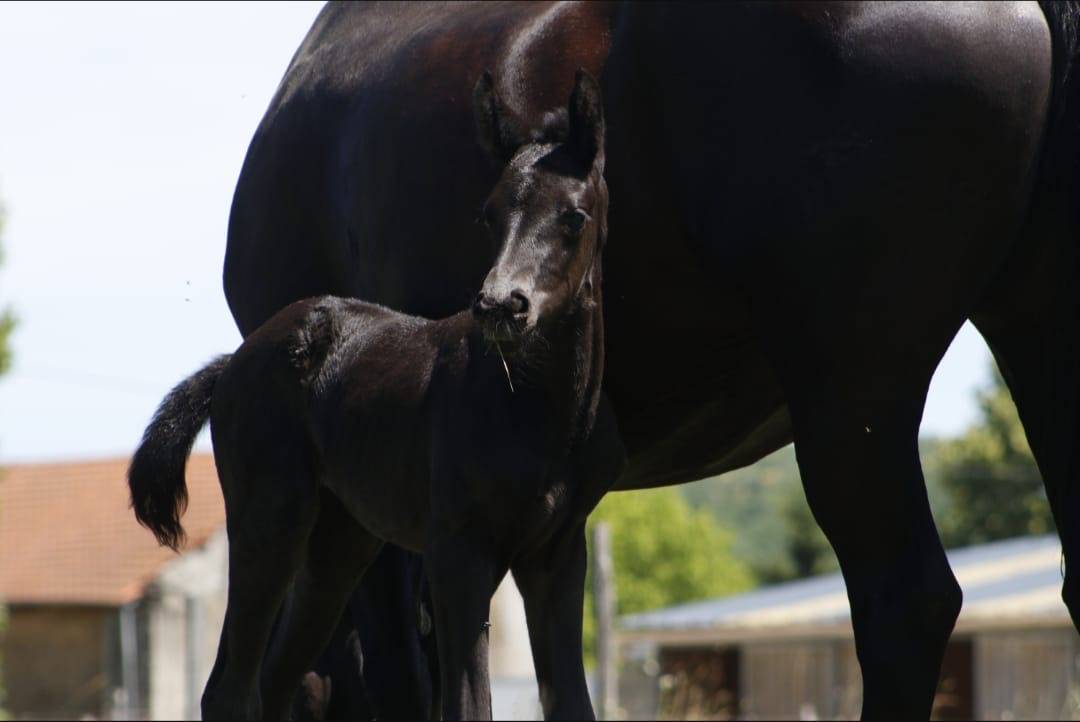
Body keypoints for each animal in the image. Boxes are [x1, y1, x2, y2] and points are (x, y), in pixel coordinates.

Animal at [130, 70, 624, 720]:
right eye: (488, 216)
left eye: (574, 217)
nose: (500, 305)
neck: (531, 411)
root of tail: (233, 365)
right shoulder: (457, 555)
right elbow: (467, 704)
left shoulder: (557, 559)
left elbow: (570, 700)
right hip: (269, 521)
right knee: (230, 688)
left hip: (338, 545)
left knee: (278, 679)